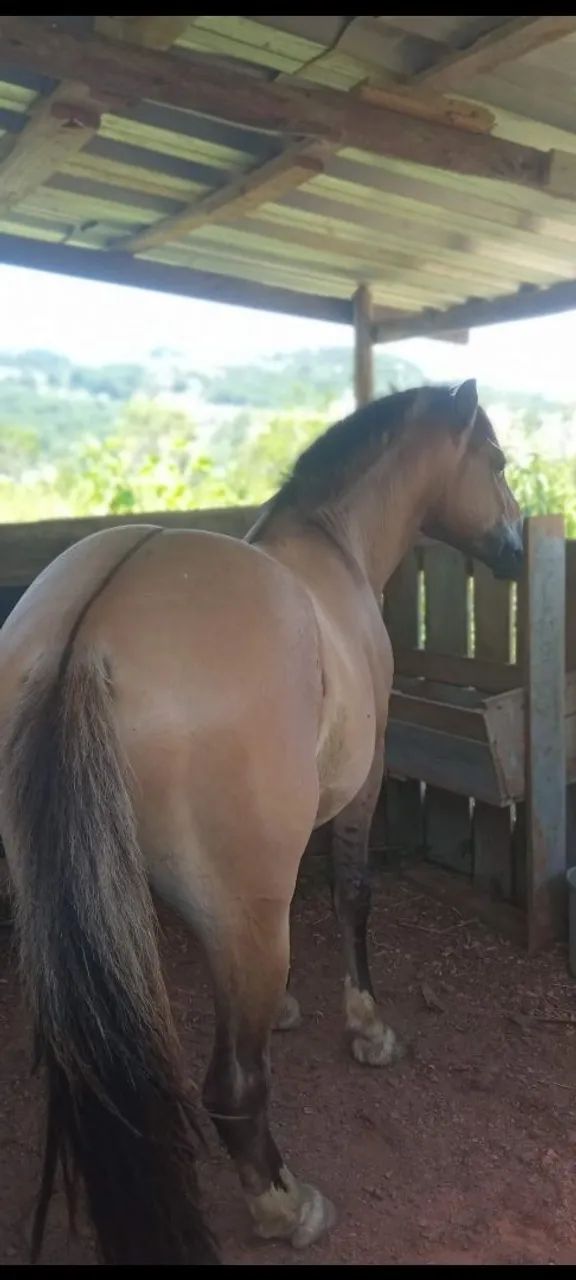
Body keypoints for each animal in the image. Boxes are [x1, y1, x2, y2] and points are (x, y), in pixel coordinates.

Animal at [0, 380, 522, 1265]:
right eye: (496, 460)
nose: (516, 550)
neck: (334, 546)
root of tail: (85, 640)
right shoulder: (362, 784)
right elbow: (351, 896)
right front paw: (367, 1028)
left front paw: (282, 1009)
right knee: (235, 1085)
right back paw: (285, 1203)